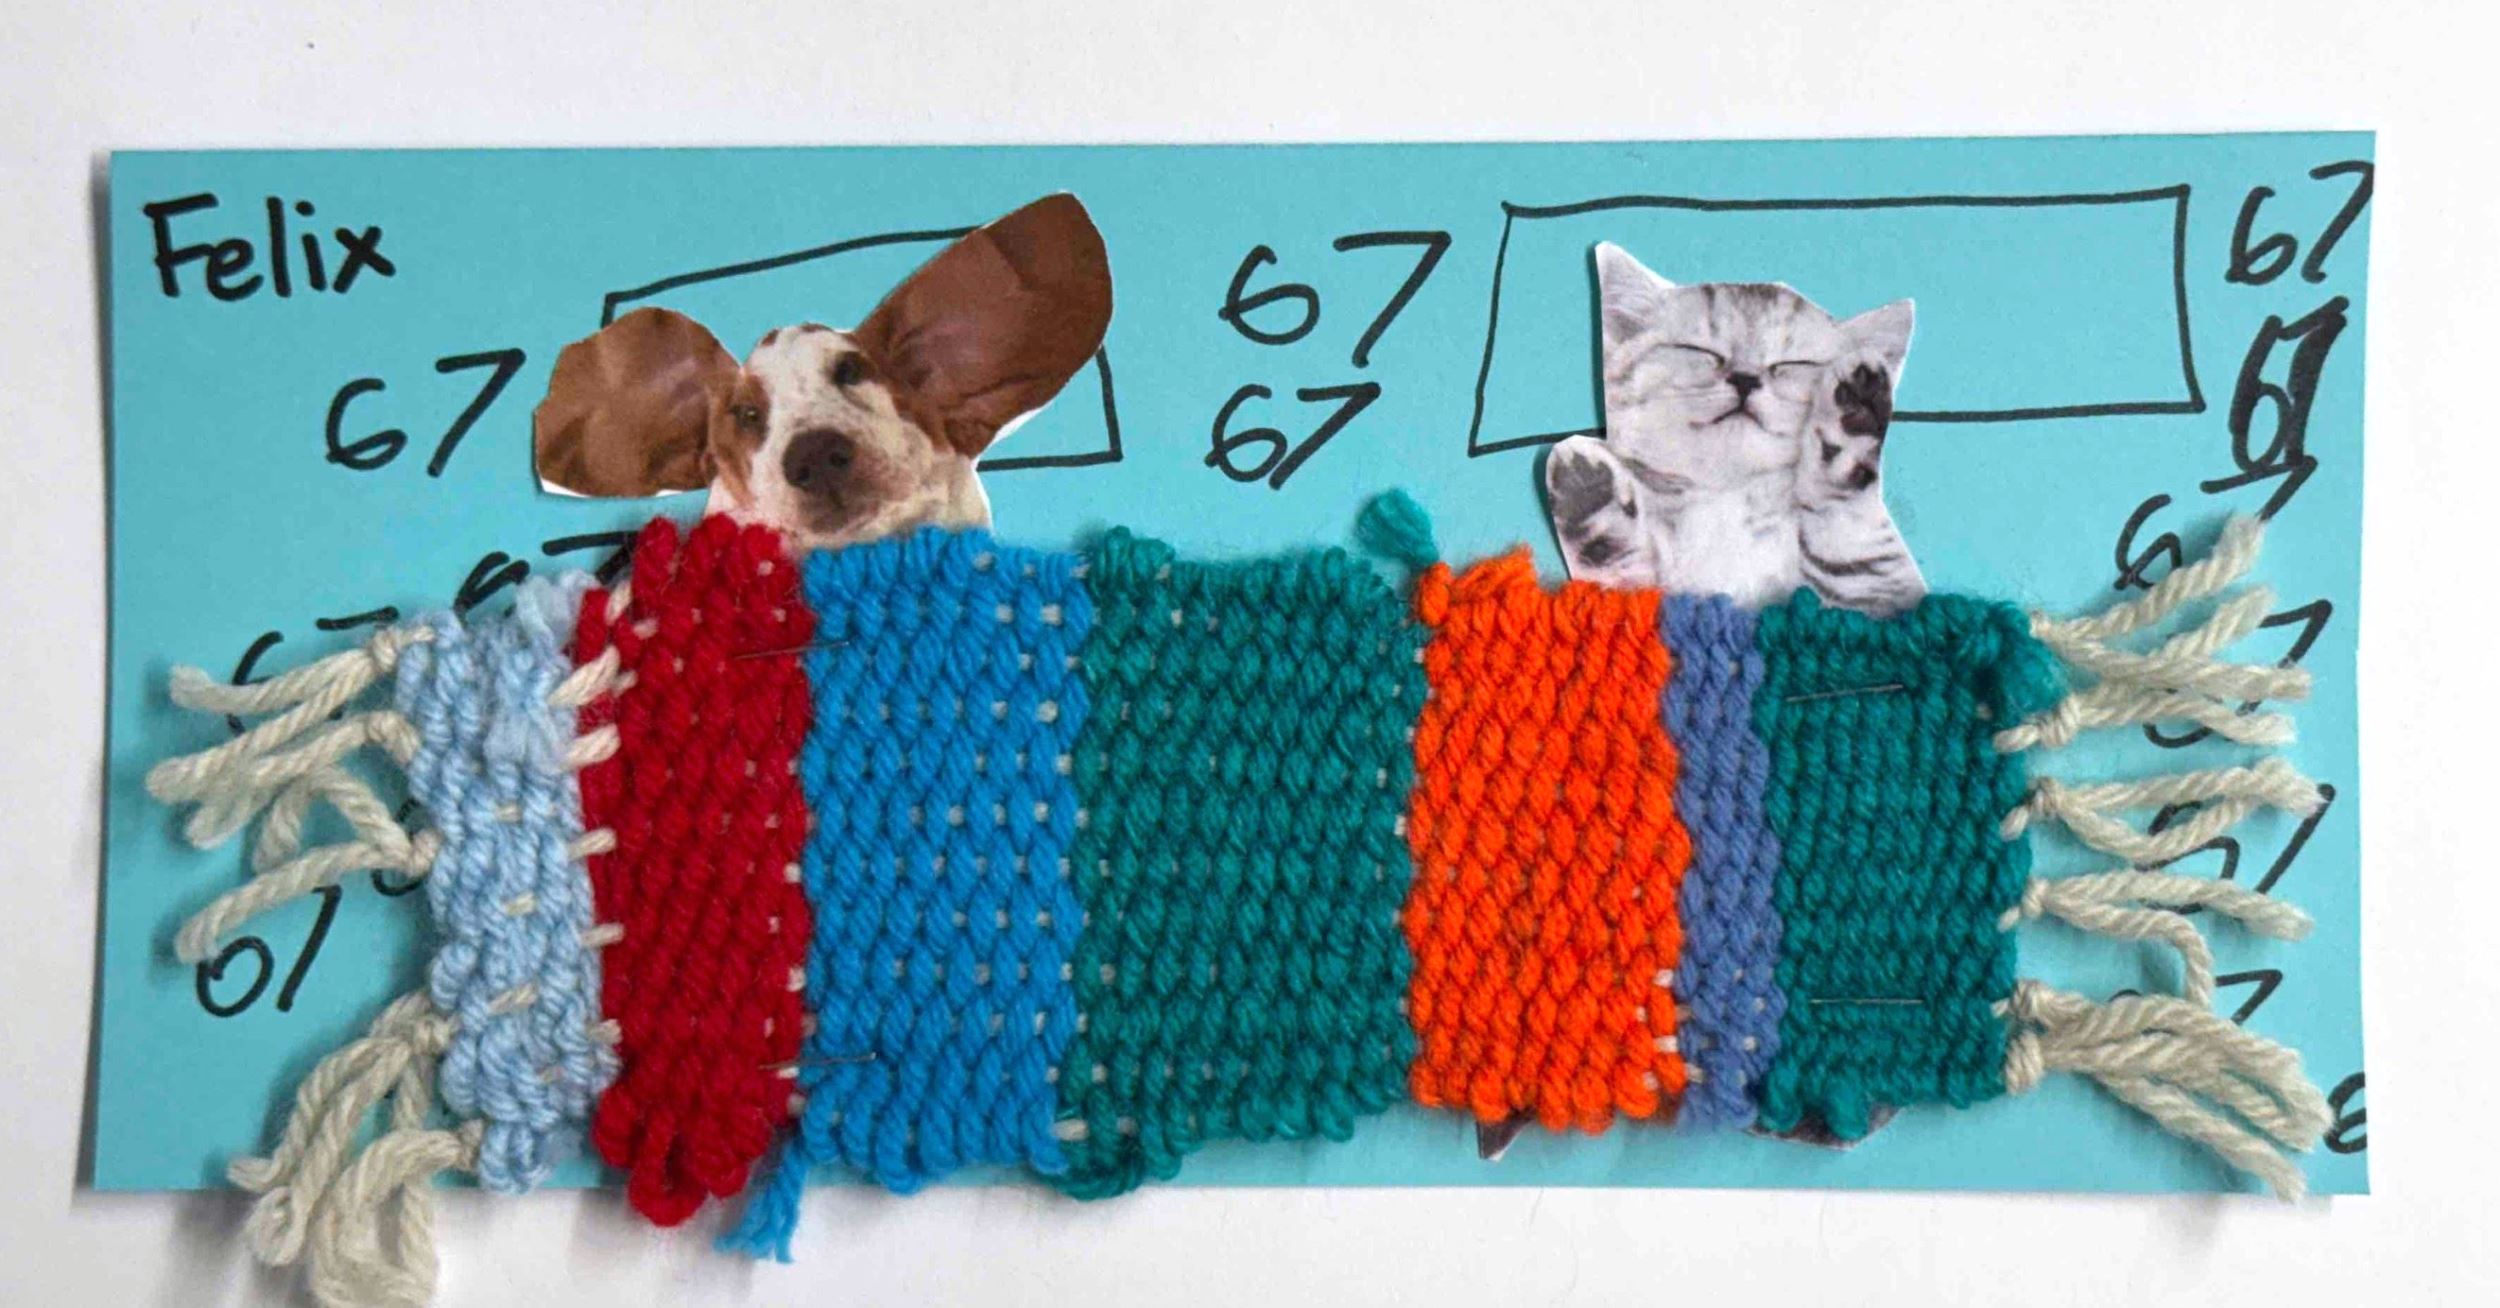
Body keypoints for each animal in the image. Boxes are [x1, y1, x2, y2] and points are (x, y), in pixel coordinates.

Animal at [1543, 242, 1927, 616]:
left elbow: (1848, 535)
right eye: (1699, 350)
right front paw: (1587, 496)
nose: (1745, 378)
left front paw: (1854, 417)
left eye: (1792, 364)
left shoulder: (1879, 597)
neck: (1730, 494)